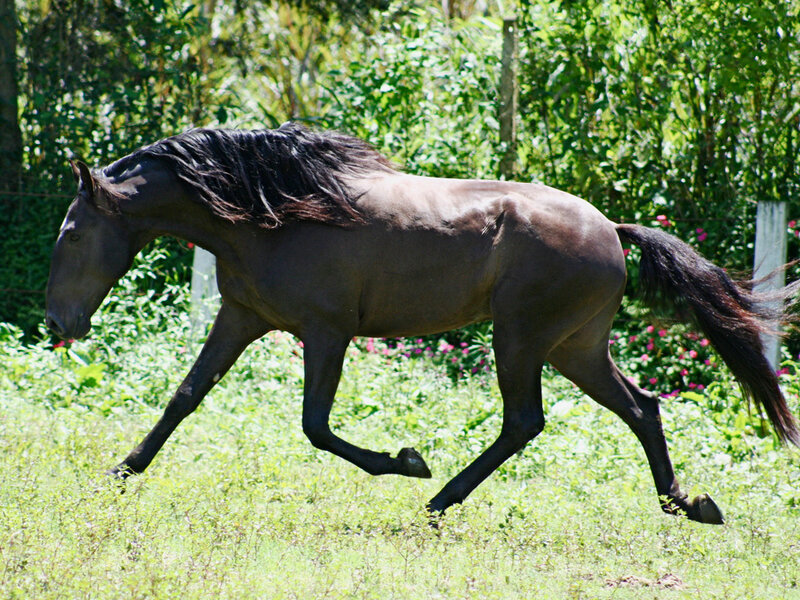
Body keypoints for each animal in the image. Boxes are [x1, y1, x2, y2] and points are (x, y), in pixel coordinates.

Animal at [46, 122, 799, 524]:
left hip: (521, 338)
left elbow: (314, 426)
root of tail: (611, 229)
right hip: (574, 347)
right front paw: (120, 471)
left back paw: (436, 497)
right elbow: (185, 397)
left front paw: (405, 461)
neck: (271, 214)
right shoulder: (241, 316)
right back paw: (687, 504)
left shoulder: (326, 332)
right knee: (641, 408)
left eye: (73, 234)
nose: (58, 323)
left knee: (524, 422)